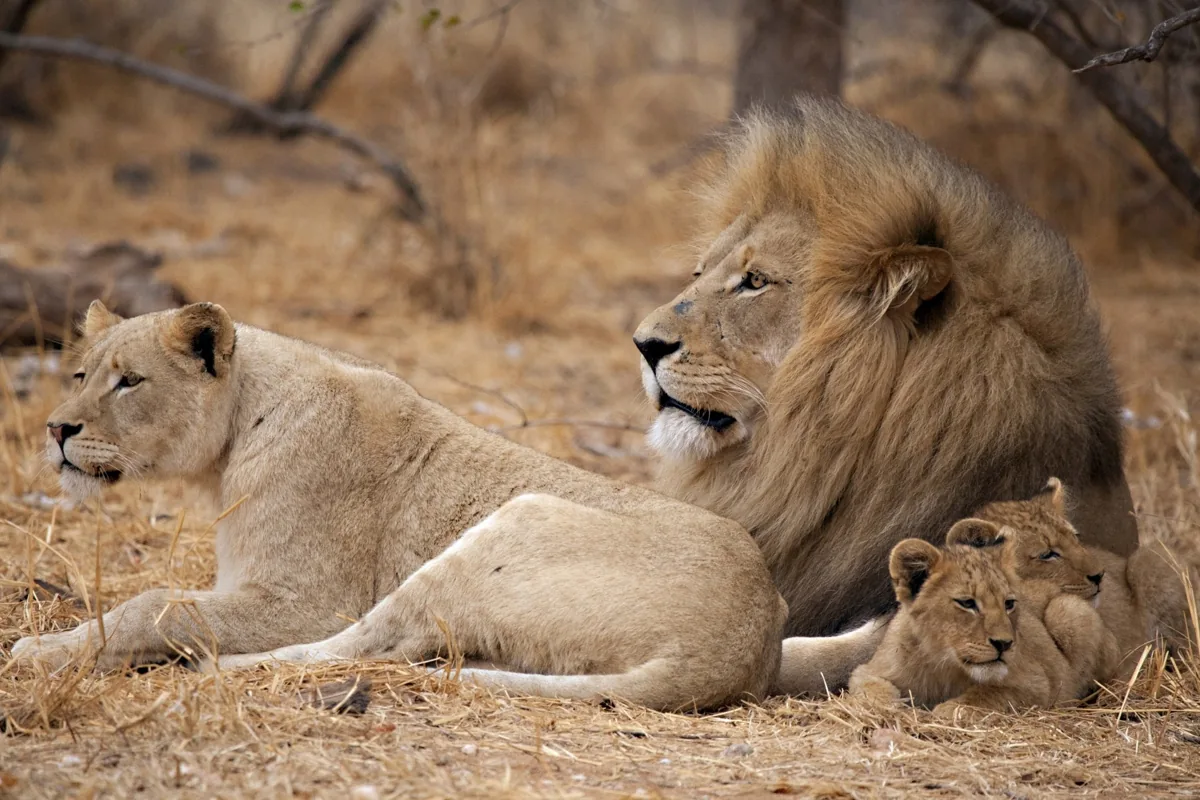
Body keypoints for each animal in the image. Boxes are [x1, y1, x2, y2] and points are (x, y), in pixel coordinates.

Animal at [10, 301, 787, 712]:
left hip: (515, 521)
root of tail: (744, 646)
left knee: (371, 644)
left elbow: (155, 604)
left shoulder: (304, 599)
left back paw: (216, 669)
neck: (233, 435)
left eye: (129, 382)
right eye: (79, 374)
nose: (55, 429)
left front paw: (43, 650)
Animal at [848, 519, 1116, 715]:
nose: (1004, 644)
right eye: (967, 603)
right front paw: (890, 708)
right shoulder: (870, 669)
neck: (942, 664)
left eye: (1009, 604)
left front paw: (947, 710)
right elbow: (872, 689)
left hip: (1068, 610)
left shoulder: (1038, 683)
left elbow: (986, 696)